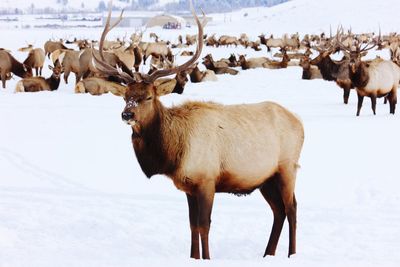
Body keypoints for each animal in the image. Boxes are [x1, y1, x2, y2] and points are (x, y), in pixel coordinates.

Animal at [93, 0, 304, 260]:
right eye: (126, 96)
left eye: (148, 96)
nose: (127, 115)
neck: (173, 153)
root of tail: (300, 123)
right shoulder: (188, 187)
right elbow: (192, 225)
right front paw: (194, 257)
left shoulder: (206, 180)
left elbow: (205, 224)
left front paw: (208, 257)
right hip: (266, 178)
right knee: (278, 211)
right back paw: (268, 254)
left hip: (287, 168)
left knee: (292, 209)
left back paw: (292, 254)